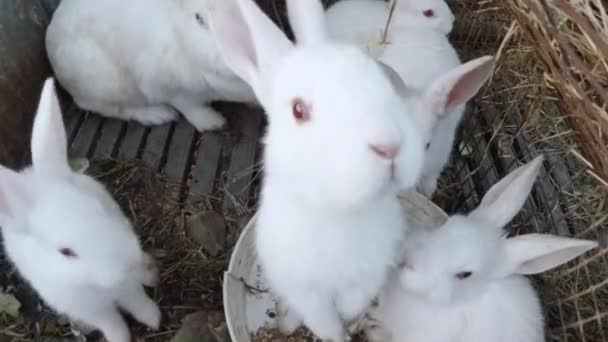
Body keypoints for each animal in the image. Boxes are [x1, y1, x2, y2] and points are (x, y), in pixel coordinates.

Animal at [0, 79, 162, 342]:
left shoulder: (127, 286)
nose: (128, 263)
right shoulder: (90, 309)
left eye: (98, 209)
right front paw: (121, 338)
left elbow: (137, 301)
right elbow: (112, 322)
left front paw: (153, 318)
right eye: (66, 252)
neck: (94, 286)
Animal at [45, 0, 256, 132]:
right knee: (107, 108)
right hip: (105, 84)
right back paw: (157, 115)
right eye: (198, 18)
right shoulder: (168, 89)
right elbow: (190, 107)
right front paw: (212, 123)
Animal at [207, 0, 426, 340]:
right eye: (298, 110)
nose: (389, 145)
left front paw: (351, 324)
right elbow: (324, 320)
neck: (339, 211)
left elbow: (350, 306)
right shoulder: (307, 291)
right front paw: (337, 335)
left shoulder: (366, 276)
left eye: (381, 82)